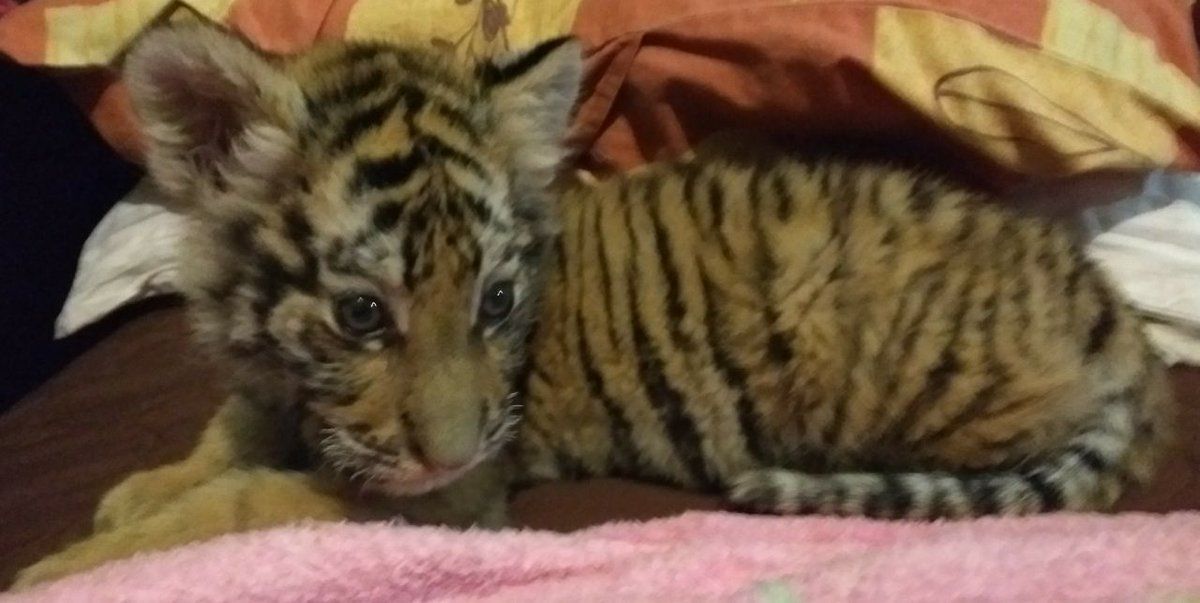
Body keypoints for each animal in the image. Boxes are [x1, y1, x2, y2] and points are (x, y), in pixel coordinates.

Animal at [12, 21, 1174, 589]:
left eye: (496, 301)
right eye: (362, 314)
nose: (452, 447)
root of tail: (1119, 321)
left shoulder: (447, 501)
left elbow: (243, 502)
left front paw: (70, 564)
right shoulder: (289, 394)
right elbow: (229, 437)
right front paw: (139, 489)